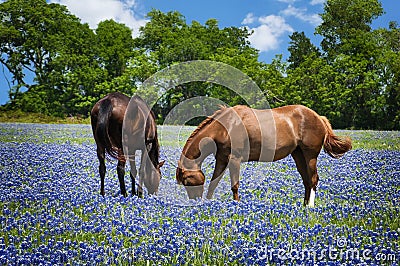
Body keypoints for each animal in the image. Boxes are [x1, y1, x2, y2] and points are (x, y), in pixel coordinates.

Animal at [177, 105, 352, 207]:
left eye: (186, 180)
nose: (194, 201)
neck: (226, 127)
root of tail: (318, 117)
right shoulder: (221, 159)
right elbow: (213, 183)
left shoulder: (234, 160)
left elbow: (234, 185)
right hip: (298, 155)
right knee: (306, 180)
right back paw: (303, 205)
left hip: (310, 155)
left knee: (313, 179)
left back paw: (310, 206)